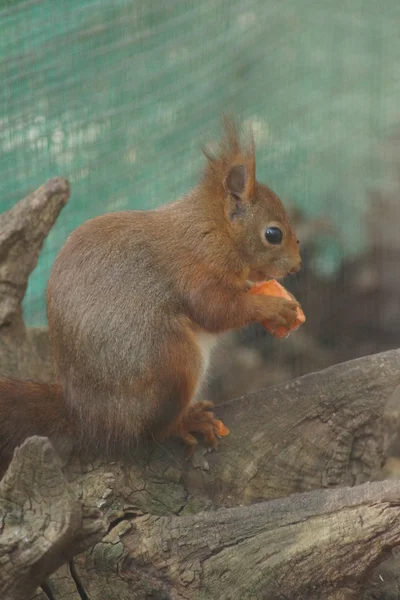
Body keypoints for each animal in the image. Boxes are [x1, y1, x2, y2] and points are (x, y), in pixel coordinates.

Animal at [0, 119, 300, 472]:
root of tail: (88, 419)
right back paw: (187, 422)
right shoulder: (195, 272)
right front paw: (274, 307)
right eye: (273, 234)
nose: (297, 266)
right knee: (152, 431)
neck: (212, 231)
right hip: (171, 361)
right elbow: (216, 310)